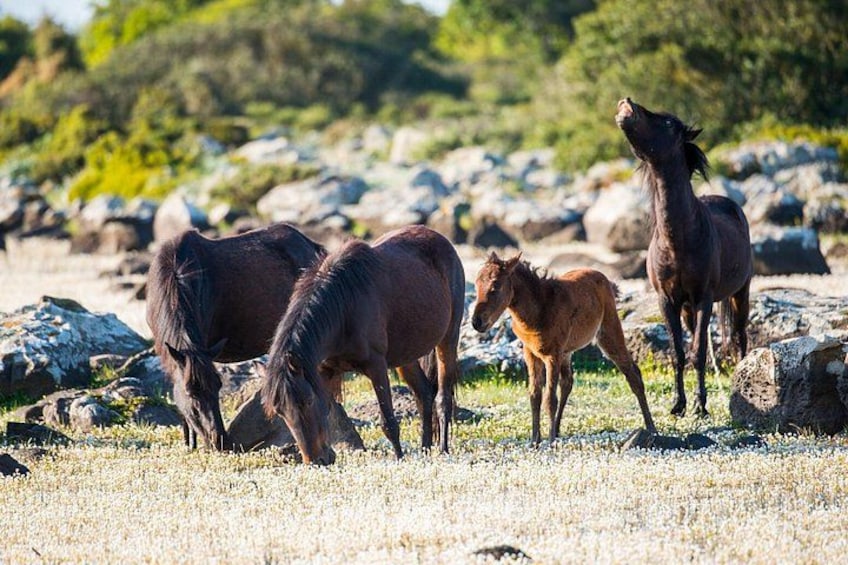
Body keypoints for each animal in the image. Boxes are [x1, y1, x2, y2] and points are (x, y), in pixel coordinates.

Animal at [261, 225, 465, 464]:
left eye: (307, 401)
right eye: (280, 412)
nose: (316, 461)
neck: (343, 308)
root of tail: (441, 239)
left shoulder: (376, 366)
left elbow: (389, 423)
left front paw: (400, 460)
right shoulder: (324, 371)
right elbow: (329, 415)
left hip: (448, 338)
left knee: (443, 398)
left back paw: (443, 450)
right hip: (406, 355)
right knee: (424, 394)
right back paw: (425, 449)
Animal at [471, 253, 656, 444]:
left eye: (495, 287)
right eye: (476, 285)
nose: (476, 322)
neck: (538, 310)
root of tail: (605, 279)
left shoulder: (553, 354)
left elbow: (550, 399)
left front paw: (550, 440)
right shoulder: (530, 353)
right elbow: (534, 395)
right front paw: (535, 441)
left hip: (608, 333)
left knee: (633, 374)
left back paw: (651, 428)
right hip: (567, 352)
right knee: (567, 382)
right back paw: (559, 429)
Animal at [615, 97, 753, 417]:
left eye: (668, 123)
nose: (627, 103)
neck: (678, 240)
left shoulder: (704, 298)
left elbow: (699, 351)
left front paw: (701, 406)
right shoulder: (668, 301)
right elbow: (680, 353)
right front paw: (678, 404)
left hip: (741, 291)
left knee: (741, 336)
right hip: (688, 308)